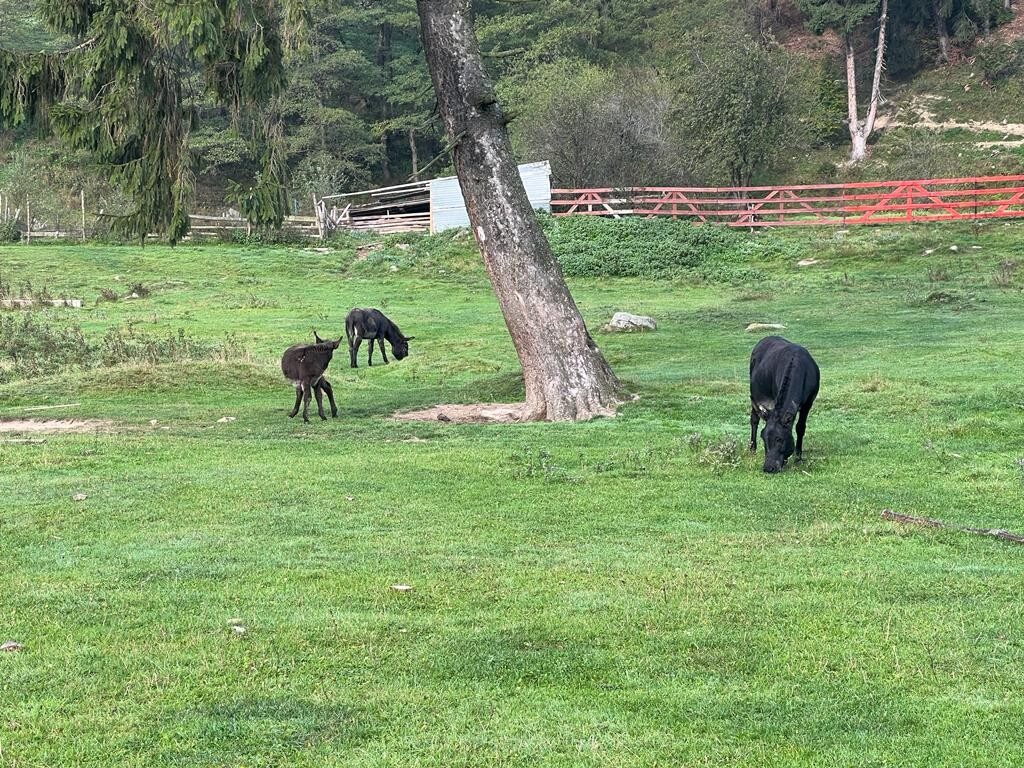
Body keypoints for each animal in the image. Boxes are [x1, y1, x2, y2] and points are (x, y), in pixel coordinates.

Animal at [749, 335, 819, 475]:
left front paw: (798, 457)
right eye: (763, 438)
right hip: (754, 394)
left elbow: (800, 427)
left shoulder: (809, 402)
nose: (768, 468)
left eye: (779, 439)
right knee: (754, 419)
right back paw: (752, 448)